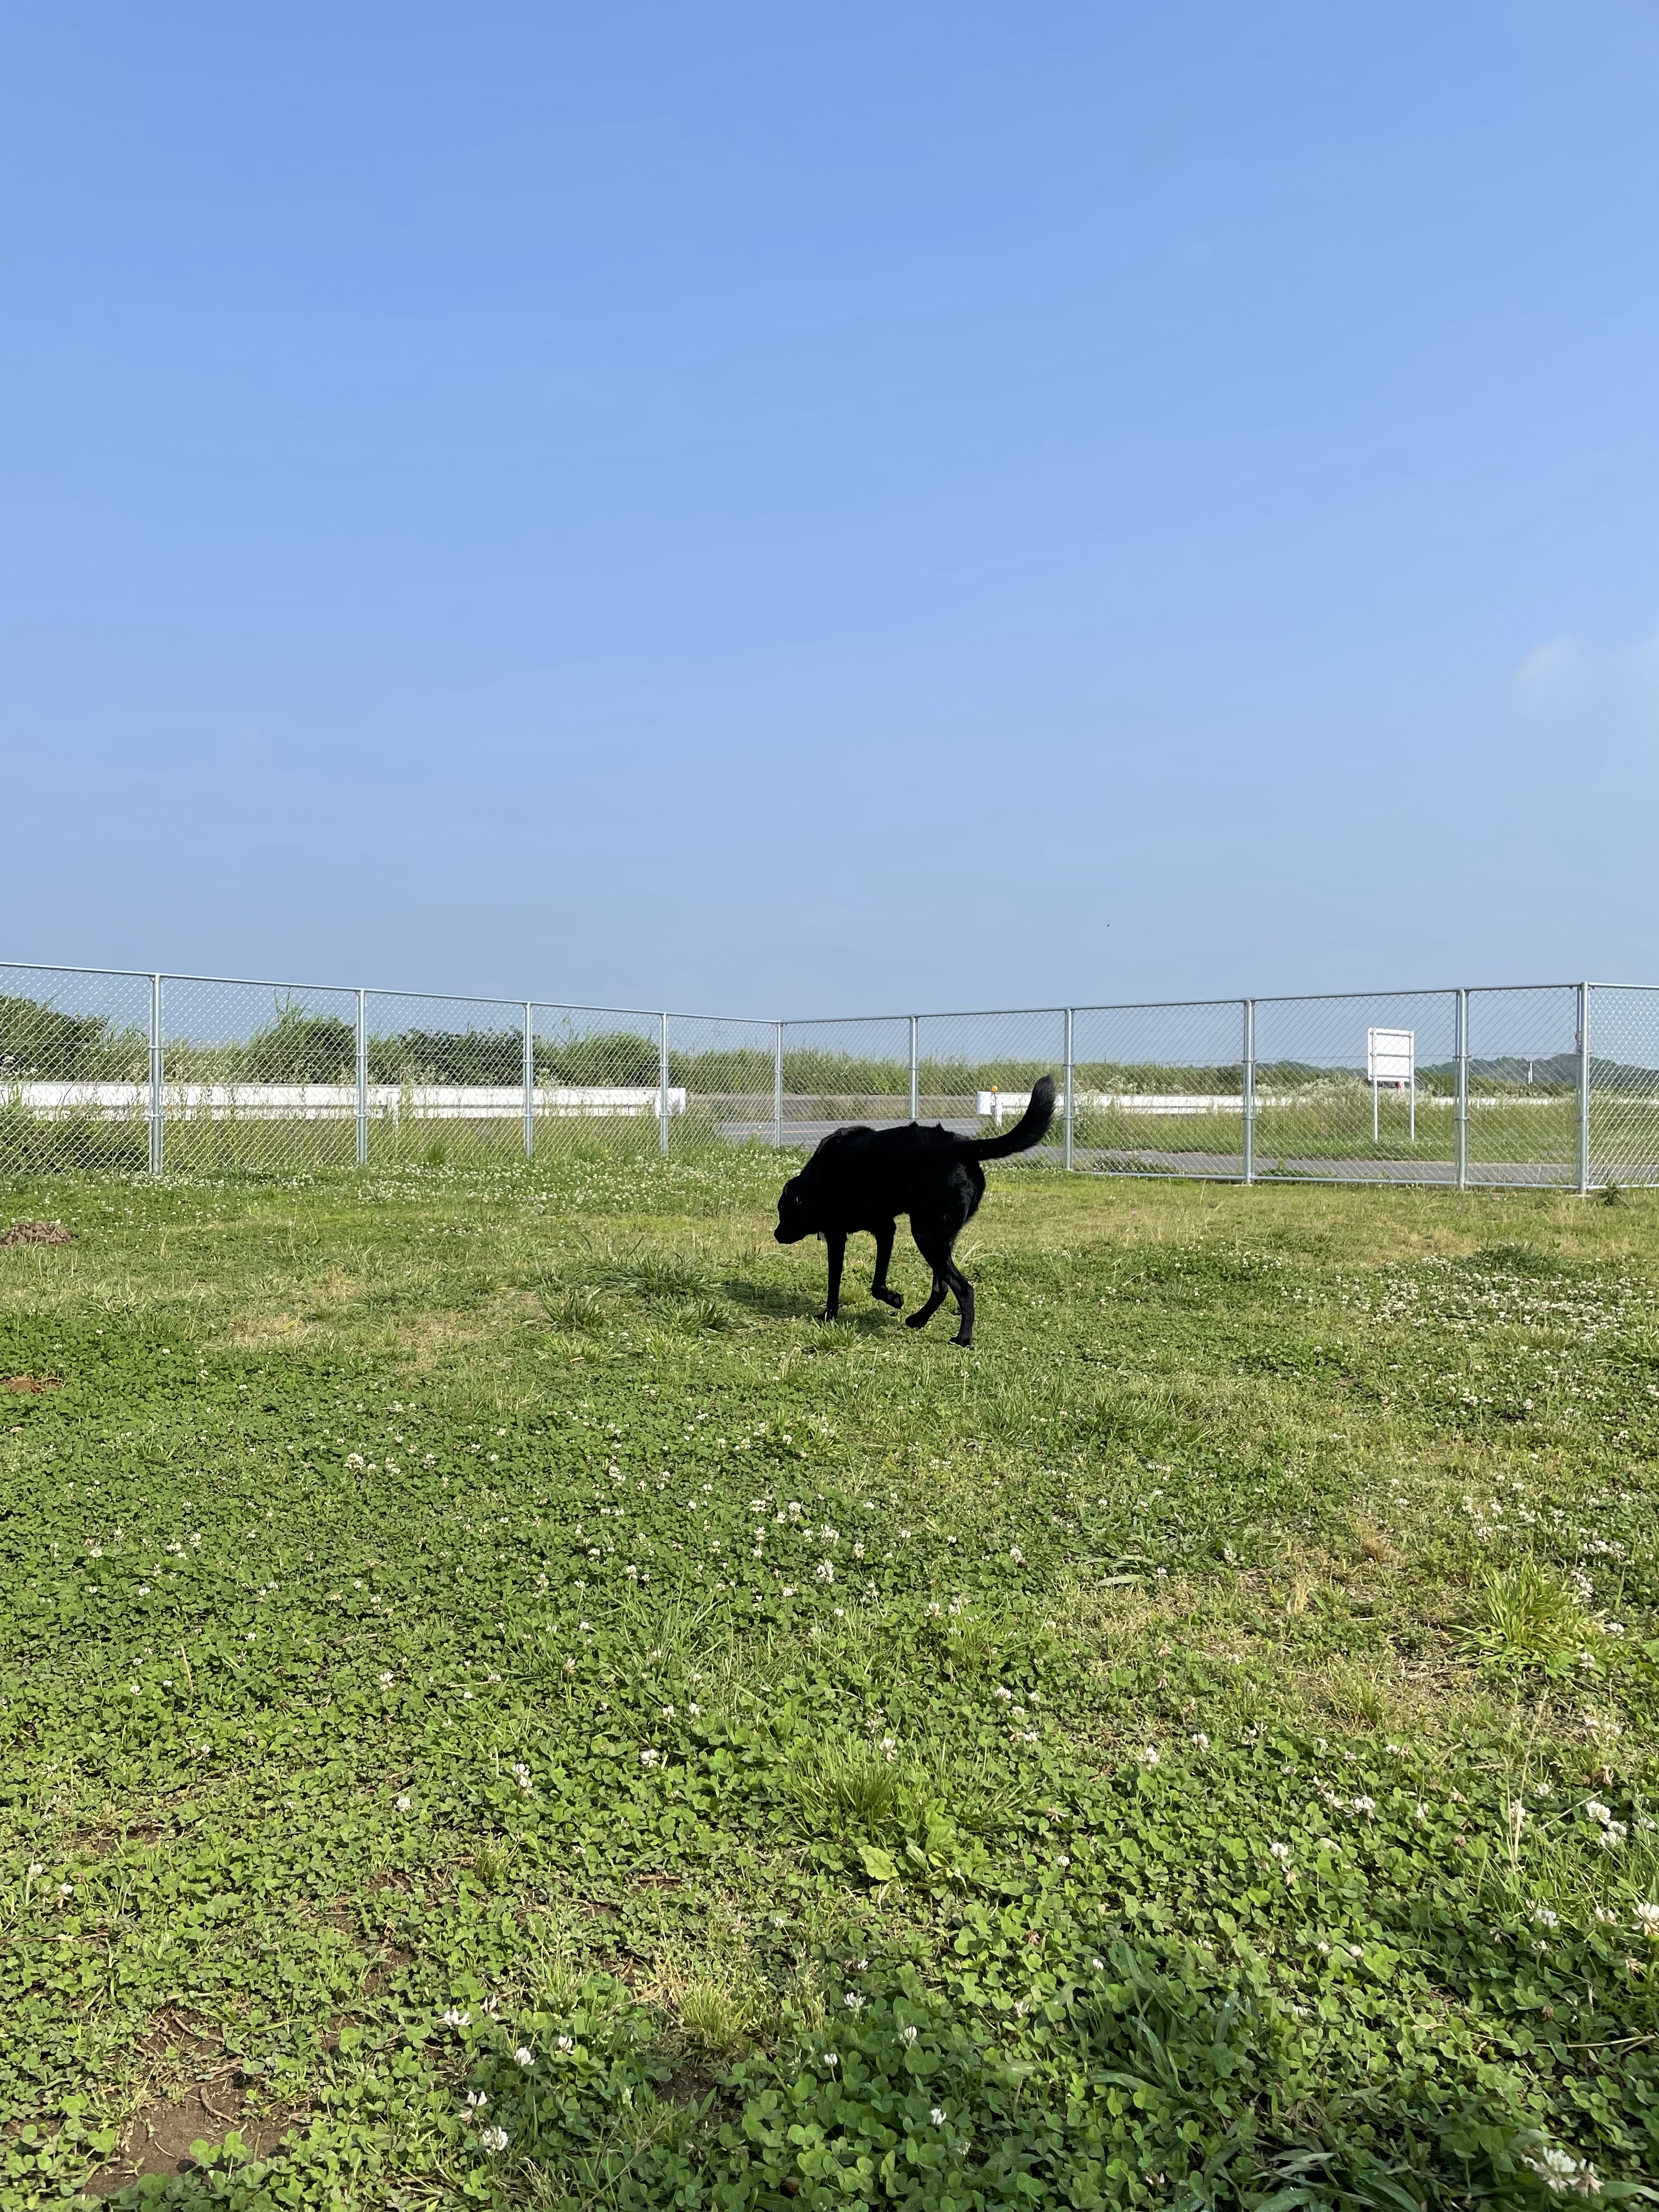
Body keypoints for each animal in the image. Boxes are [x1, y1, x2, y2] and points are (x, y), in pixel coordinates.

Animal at [773, 1076, 1057, 1347]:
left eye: (782, 1212)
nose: (776, 1235)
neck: (813, 1182)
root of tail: (960, 1146)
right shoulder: (885, 1229)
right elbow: (878, 1282)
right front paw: (893, 1298)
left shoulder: (837, 1236)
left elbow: (834, 1282)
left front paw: (829, 1314)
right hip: (940, 1238)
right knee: (942, 1288)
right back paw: (918, 1320)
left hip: (926, 1235)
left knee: (964, 1289)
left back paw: (963, 1338)